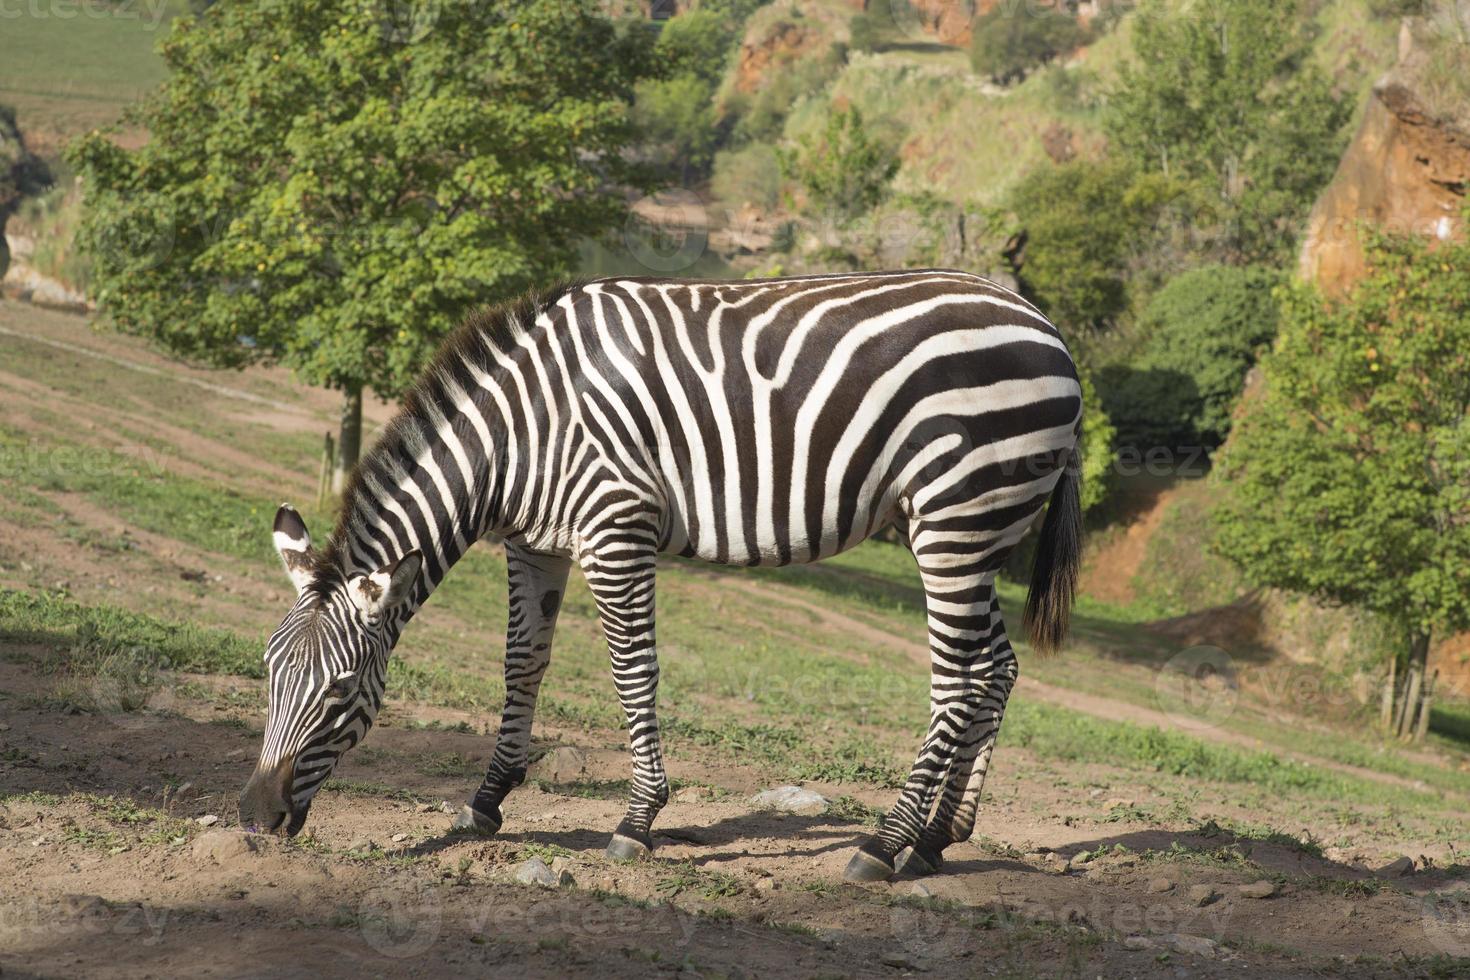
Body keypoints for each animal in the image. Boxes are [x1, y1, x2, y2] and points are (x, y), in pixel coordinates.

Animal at [241, 265, 1081, 881]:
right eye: (267, 675)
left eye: (341, 693)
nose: (254, 817)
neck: (518, 436)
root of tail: (1044, 325)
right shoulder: (535, 543)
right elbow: (524, 662)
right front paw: (486, 801)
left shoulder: (616, 527)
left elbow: (631, 670)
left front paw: (637, 820)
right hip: (969, 529)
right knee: (996, 667)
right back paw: (937, 841)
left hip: (958, 516)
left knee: (957, 679)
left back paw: (882, 846)